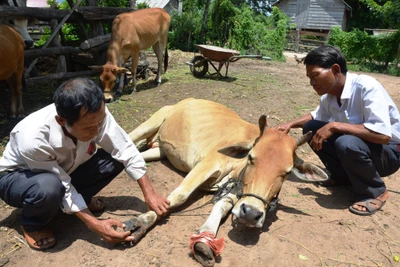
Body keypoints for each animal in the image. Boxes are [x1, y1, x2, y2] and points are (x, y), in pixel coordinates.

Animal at [126, 99, 326, 267]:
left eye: (286, 173)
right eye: (251, 157)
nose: (251, 213)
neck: (238, 166)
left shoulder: (235, 190)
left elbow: (222, 206)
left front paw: (205, 239)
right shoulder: (207, 164)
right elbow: (180, 195)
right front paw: (143, 221)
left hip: (159, 150)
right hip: (150, 123)